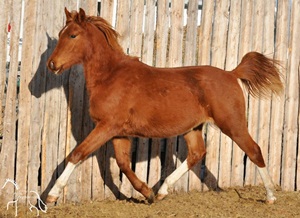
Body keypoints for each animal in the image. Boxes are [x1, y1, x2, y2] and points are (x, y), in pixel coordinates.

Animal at [45, 7, 282, 204]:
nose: (52, 64)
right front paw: (147, 192)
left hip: (232, 124)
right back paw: (162, 191)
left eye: (73, 35)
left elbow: (78, 154)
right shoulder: (119, 132)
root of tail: (232, 74)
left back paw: (270, 196)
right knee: (196, 154)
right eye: (60, 34)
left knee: (254, 150)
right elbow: (123, 164)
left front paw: (51, 195)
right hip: (193, 128)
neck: (110, 76)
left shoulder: (107, 126)